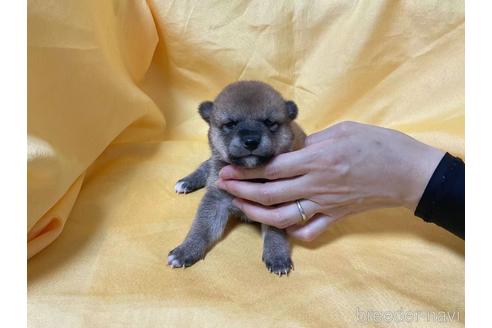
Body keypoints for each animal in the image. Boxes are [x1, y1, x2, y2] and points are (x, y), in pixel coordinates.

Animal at [171, 80, 306, 276]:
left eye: (269, 123)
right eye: (230, 124)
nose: (251, 141)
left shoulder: (276, 204)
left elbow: (275, 232)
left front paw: (277, 255)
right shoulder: (216, 198)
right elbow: (202, 227)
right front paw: (187, 249)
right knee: (205, 166)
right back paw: (187, 182)